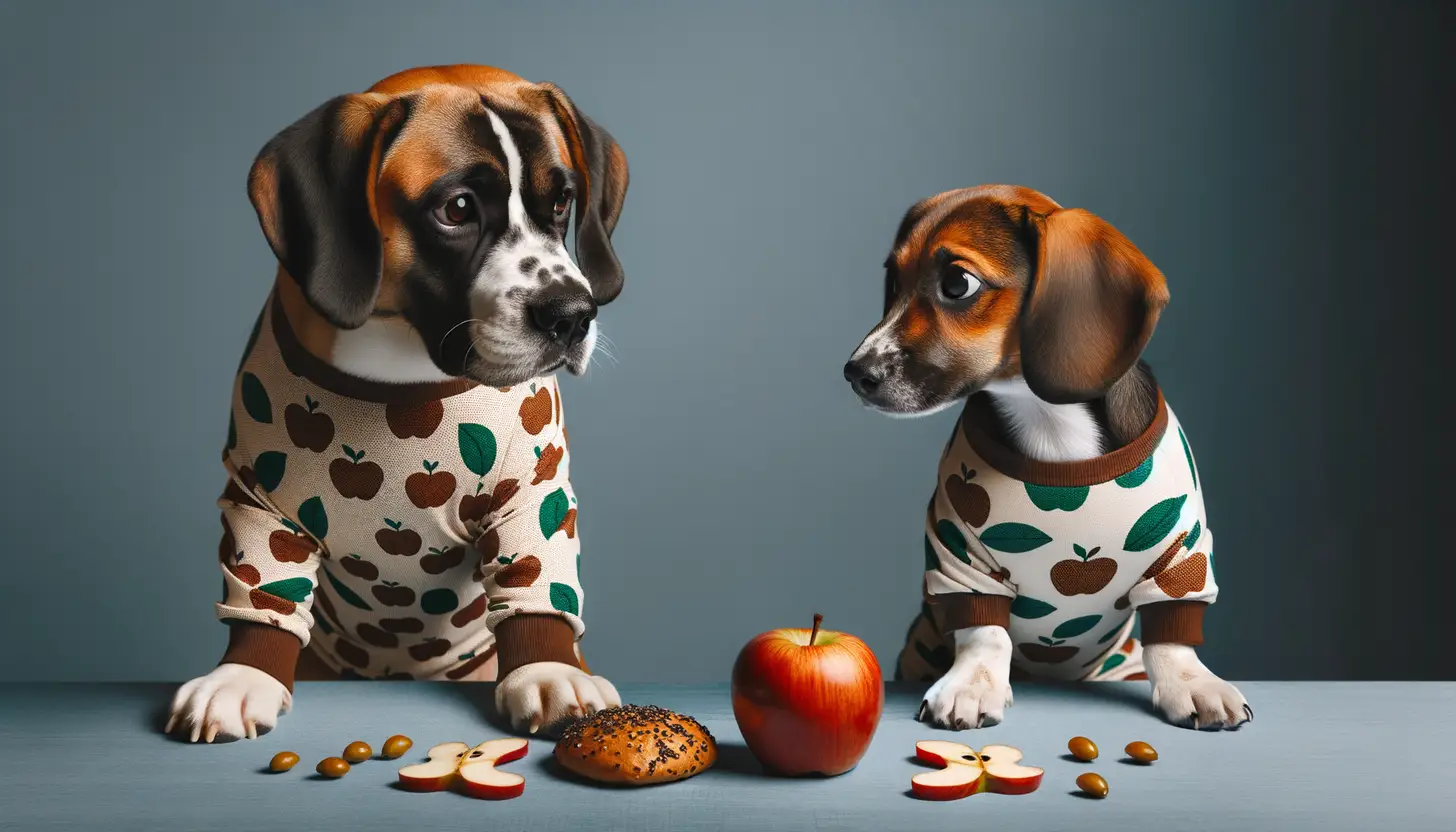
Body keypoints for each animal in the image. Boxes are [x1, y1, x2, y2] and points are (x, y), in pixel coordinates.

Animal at [166, 65, 631, 743]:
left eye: (562, 202)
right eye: (457, 209)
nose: (573, 315)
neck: (401, 375)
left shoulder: (533, 496)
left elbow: (536, 579)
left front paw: (546, 669)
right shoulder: (261, 503)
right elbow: (263, 592)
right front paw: (243, 675)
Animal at [844, 186, 1252, 728]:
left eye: (957, 284)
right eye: (893, 280)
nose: (855, 372)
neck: (1052, 424)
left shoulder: (1181, 552)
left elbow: (1171, 636)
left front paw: (1193, 683)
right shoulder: (959, 553)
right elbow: (984, 633)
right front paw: (973, 684)